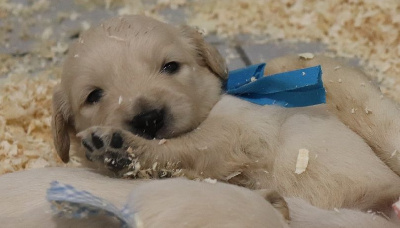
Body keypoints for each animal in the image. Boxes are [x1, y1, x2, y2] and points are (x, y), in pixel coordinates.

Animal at [53, 15, 400, 217]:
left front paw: (122, 149)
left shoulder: (234, 133)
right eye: (93, 95)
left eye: (170, 66)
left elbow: (178, 149)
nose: (148, 118)